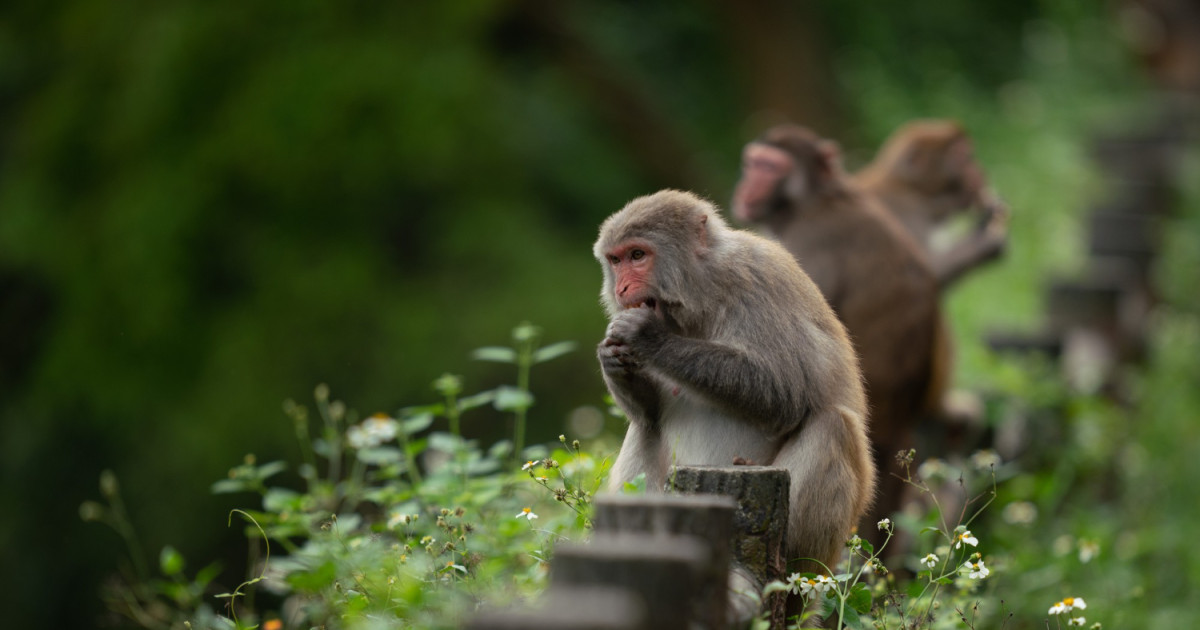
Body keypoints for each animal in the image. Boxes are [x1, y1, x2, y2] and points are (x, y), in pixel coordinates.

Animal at [597, 188, 873, 573]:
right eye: (615, 260)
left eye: (638, 255)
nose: (621, 287)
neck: (701, 294)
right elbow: (648, 415)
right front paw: (611, 359)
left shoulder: (757, 280)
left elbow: (784, 392)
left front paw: (649, 337)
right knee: (645, 428)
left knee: (833, 424)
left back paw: (788, 561)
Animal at [854, 119, 1012, 289]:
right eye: (964, 157)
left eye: (970, 156)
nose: (980, 172)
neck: (912, 188)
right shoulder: (904, 209)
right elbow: (925, 272)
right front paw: (985, 240)